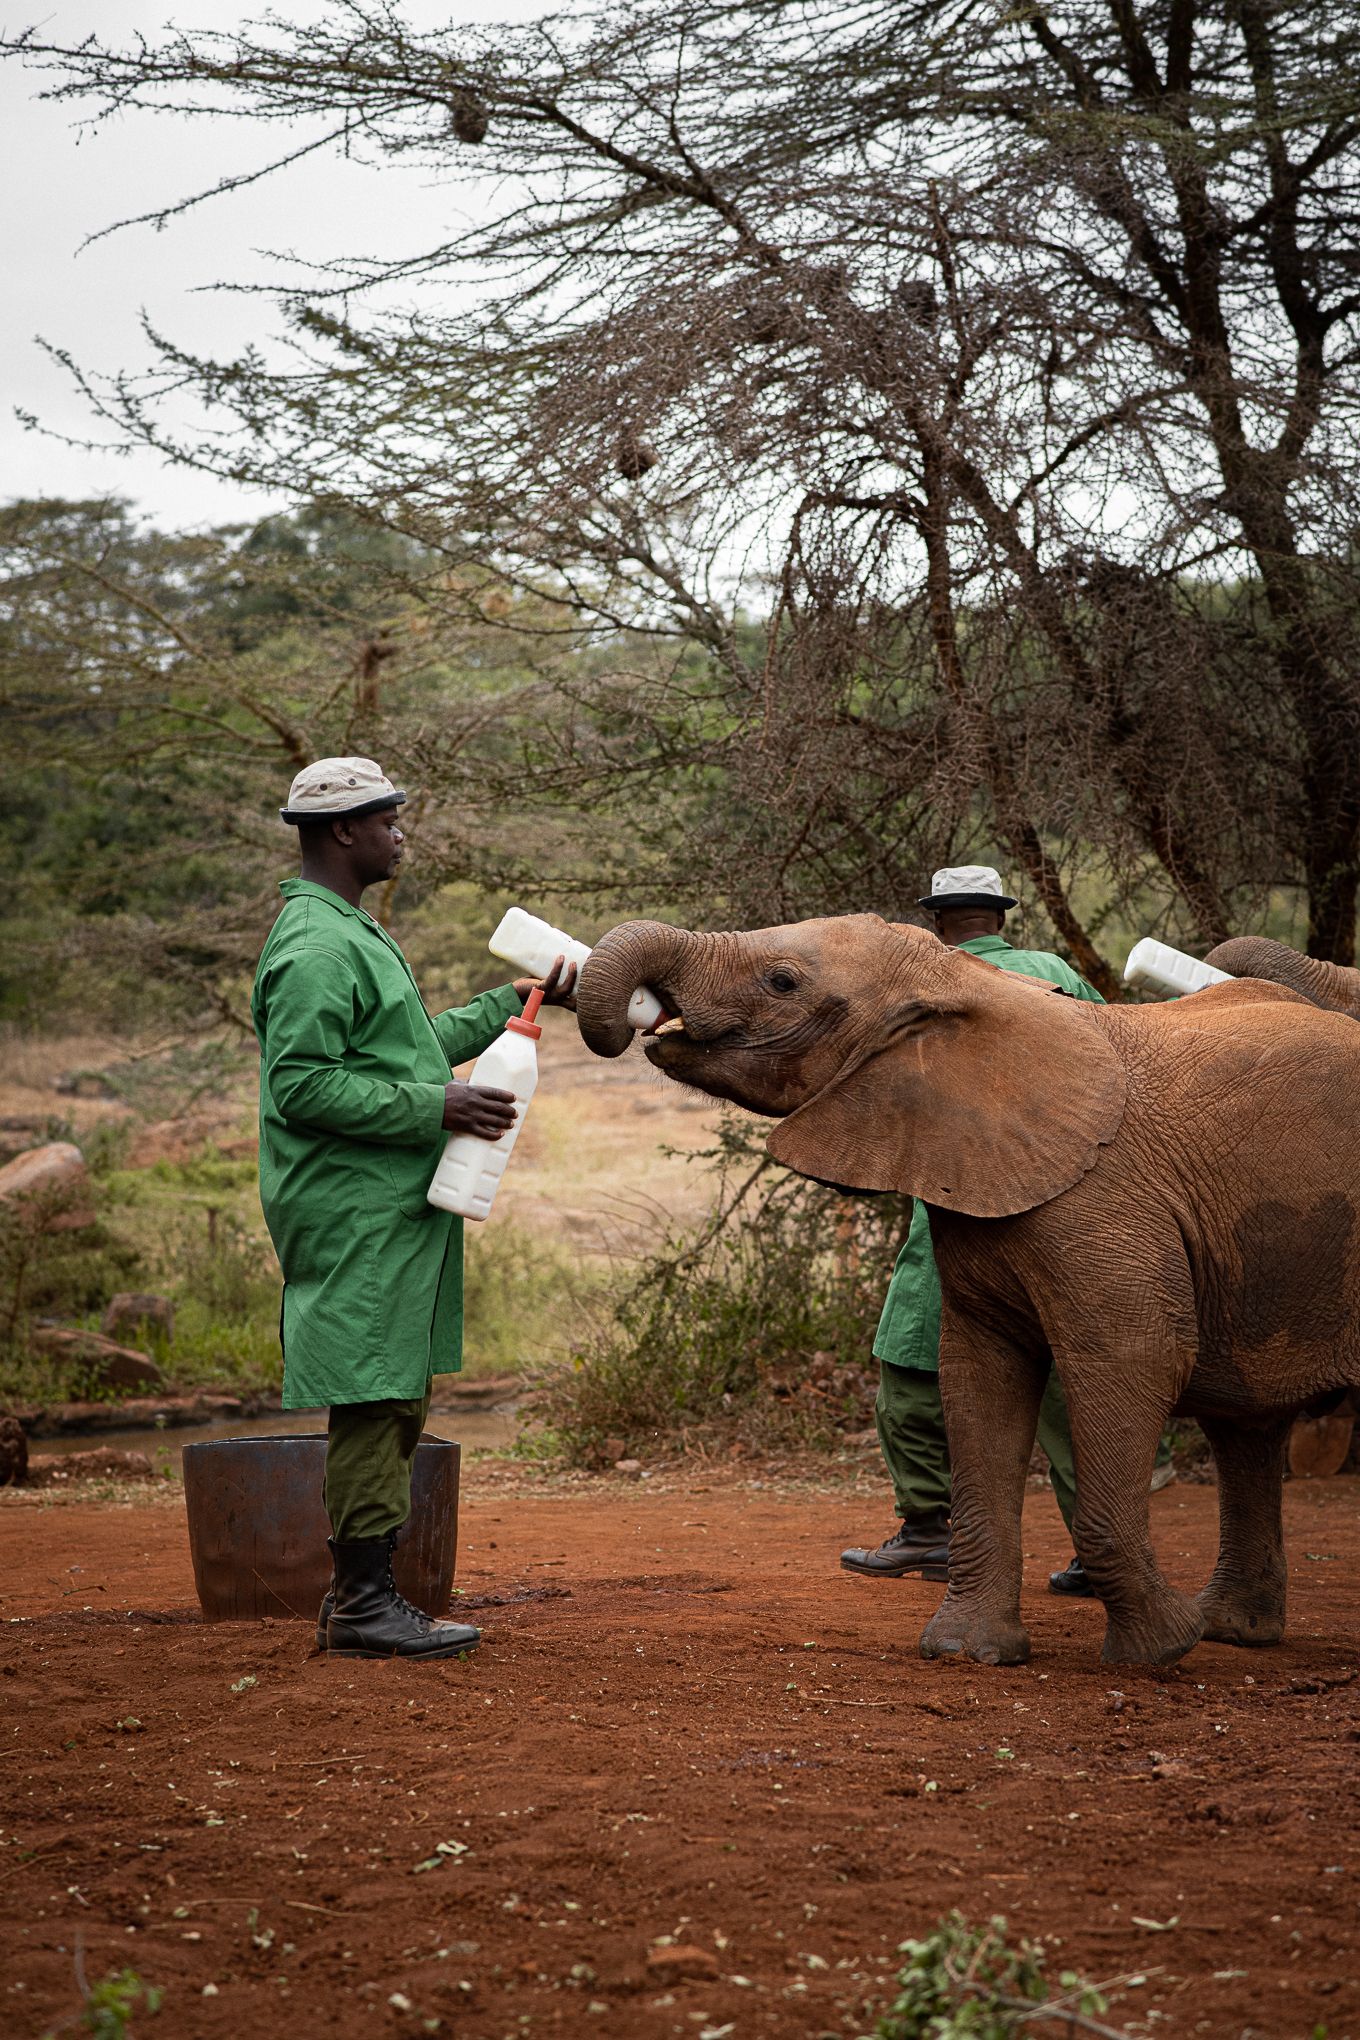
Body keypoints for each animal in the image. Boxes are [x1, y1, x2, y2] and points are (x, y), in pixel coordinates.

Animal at [579, 918, 1360, 1664]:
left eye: (781, 981)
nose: (639, 1018)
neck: (966, 984)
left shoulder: (1104, 1204)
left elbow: (1135, 1359)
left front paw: (1160, 1650)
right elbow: (978, 1376)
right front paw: (966, 1652)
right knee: (1246, 1426)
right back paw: (1235, 1632)